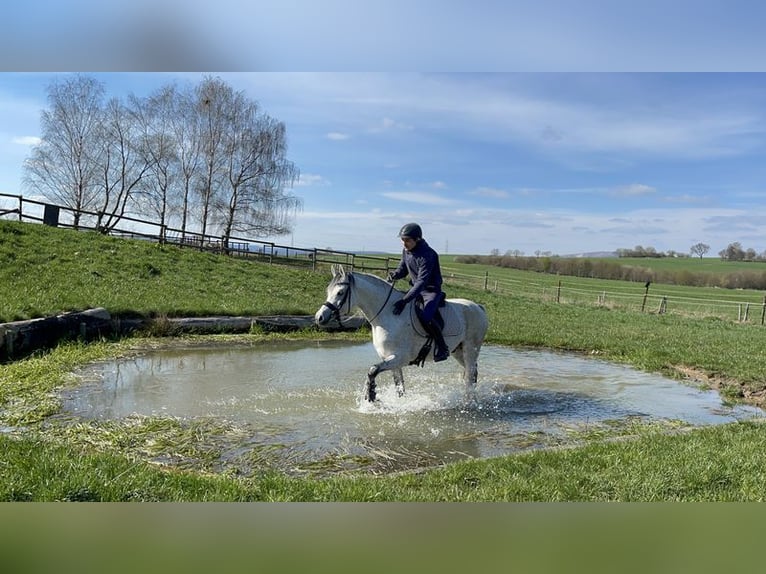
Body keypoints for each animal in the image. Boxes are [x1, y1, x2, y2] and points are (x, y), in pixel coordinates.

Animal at [314, 264, 489, 402]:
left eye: (340, 292)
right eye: (328, 291)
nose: (319, 317)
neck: (388, 314)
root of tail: (478, 307)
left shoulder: (400, 358)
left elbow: (372, 370)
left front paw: (370, 395)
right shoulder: (391, 360)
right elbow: (399, 387)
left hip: (470, 349)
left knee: (470, 375)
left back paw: (468, 402)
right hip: (458, 351)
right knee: (471, 372)